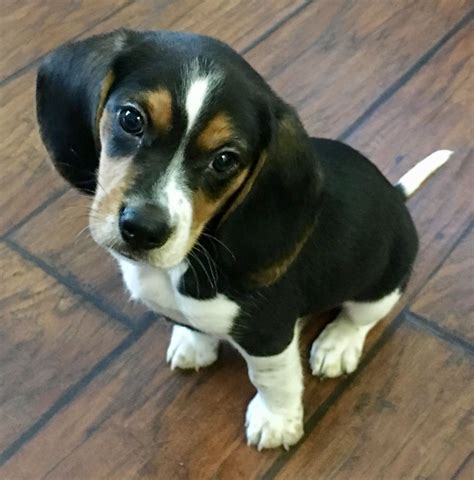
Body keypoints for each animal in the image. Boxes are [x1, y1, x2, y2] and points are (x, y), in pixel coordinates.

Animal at [37, 29, 452, 450]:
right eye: (130, 118)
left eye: (225, 160)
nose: (142, 228)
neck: (186, 259)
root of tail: (396, 197)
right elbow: (193, 326)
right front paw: (194, 344)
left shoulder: (268, 335)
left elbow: (273, 381)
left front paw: (276, 420)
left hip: (381, 284)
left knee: (360, 316)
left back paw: (337, 344)